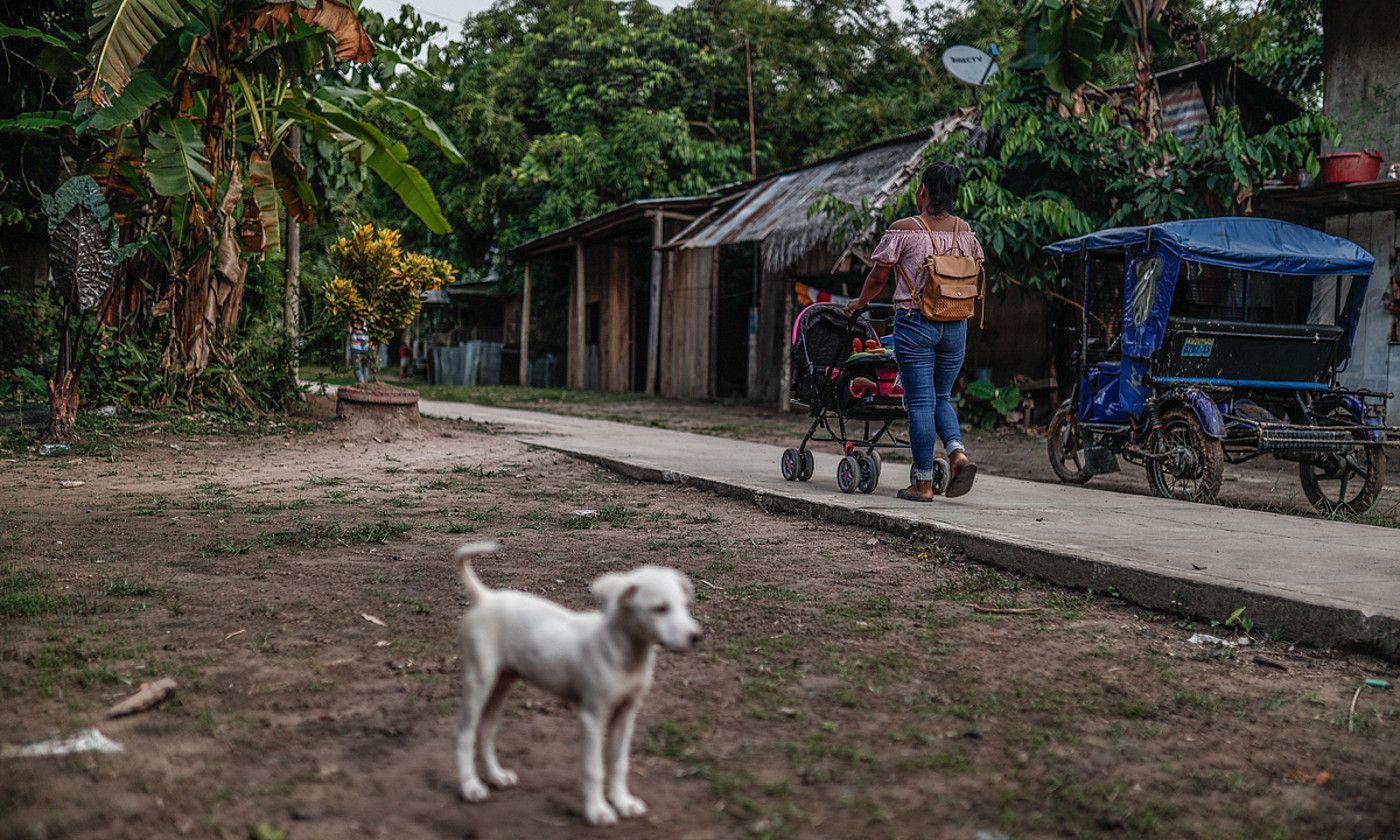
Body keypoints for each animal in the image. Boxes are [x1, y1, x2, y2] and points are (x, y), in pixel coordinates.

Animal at [456, 540, 705, 823]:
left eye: (684, 605)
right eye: (660, 608)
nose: (697, 636)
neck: (626, 656)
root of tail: (485, 597)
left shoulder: (626, 714)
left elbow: (619, 763)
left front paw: (623, 802)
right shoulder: (592, 717)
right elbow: (594, 768)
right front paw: (598, 810)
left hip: (503, 680)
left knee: (486, 729)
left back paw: (496, 776)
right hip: (479, 678)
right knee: (465, 732)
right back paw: (470, 786)